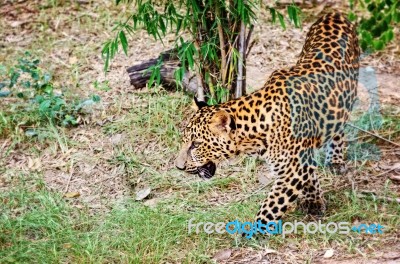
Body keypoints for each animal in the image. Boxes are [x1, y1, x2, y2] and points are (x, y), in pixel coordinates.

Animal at [174, 12, 360, 225]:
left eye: (196, 144)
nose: (178, 167)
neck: (254, 131)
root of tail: (334, 13)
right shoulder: (301, 160)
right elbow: (310, 176)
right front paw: (313, 200)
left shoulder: (292, 170)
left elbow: (271, 206)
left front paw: (254, 228)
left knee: (340, 127)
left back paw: (336, 159)